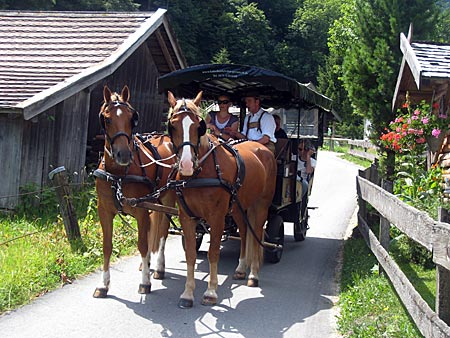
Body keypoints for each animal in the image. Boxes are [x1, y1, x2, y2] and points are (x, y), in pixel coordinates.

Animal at [93, 85, 176, 298]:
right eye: (106, 119)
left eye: (132, 118)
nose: (123, 155)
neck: (118, 175)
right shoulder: (104, 211)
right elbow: (107, 246)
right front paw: (103, 285)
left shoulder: (141, 211)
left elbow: (143, 244)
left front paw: (145, 282)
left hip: (168, 198)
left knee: (162, 232)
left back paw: (158, 267)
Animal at [166, 91, 278, 308]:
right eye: (172, 126)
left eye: (198, 126)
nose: (186, 164)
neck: (200, 172)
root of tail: (262, 149)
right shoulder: (187, 217)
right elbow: (191, 254)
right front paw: (187, 294)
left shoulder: (216, 217)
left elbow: (213, 252)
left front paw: (210, 292)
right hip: (238, 207)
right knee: (245, 232)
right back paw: (241, 269)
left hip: (261, 205)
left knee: (257, 233)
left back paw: (253, 275)